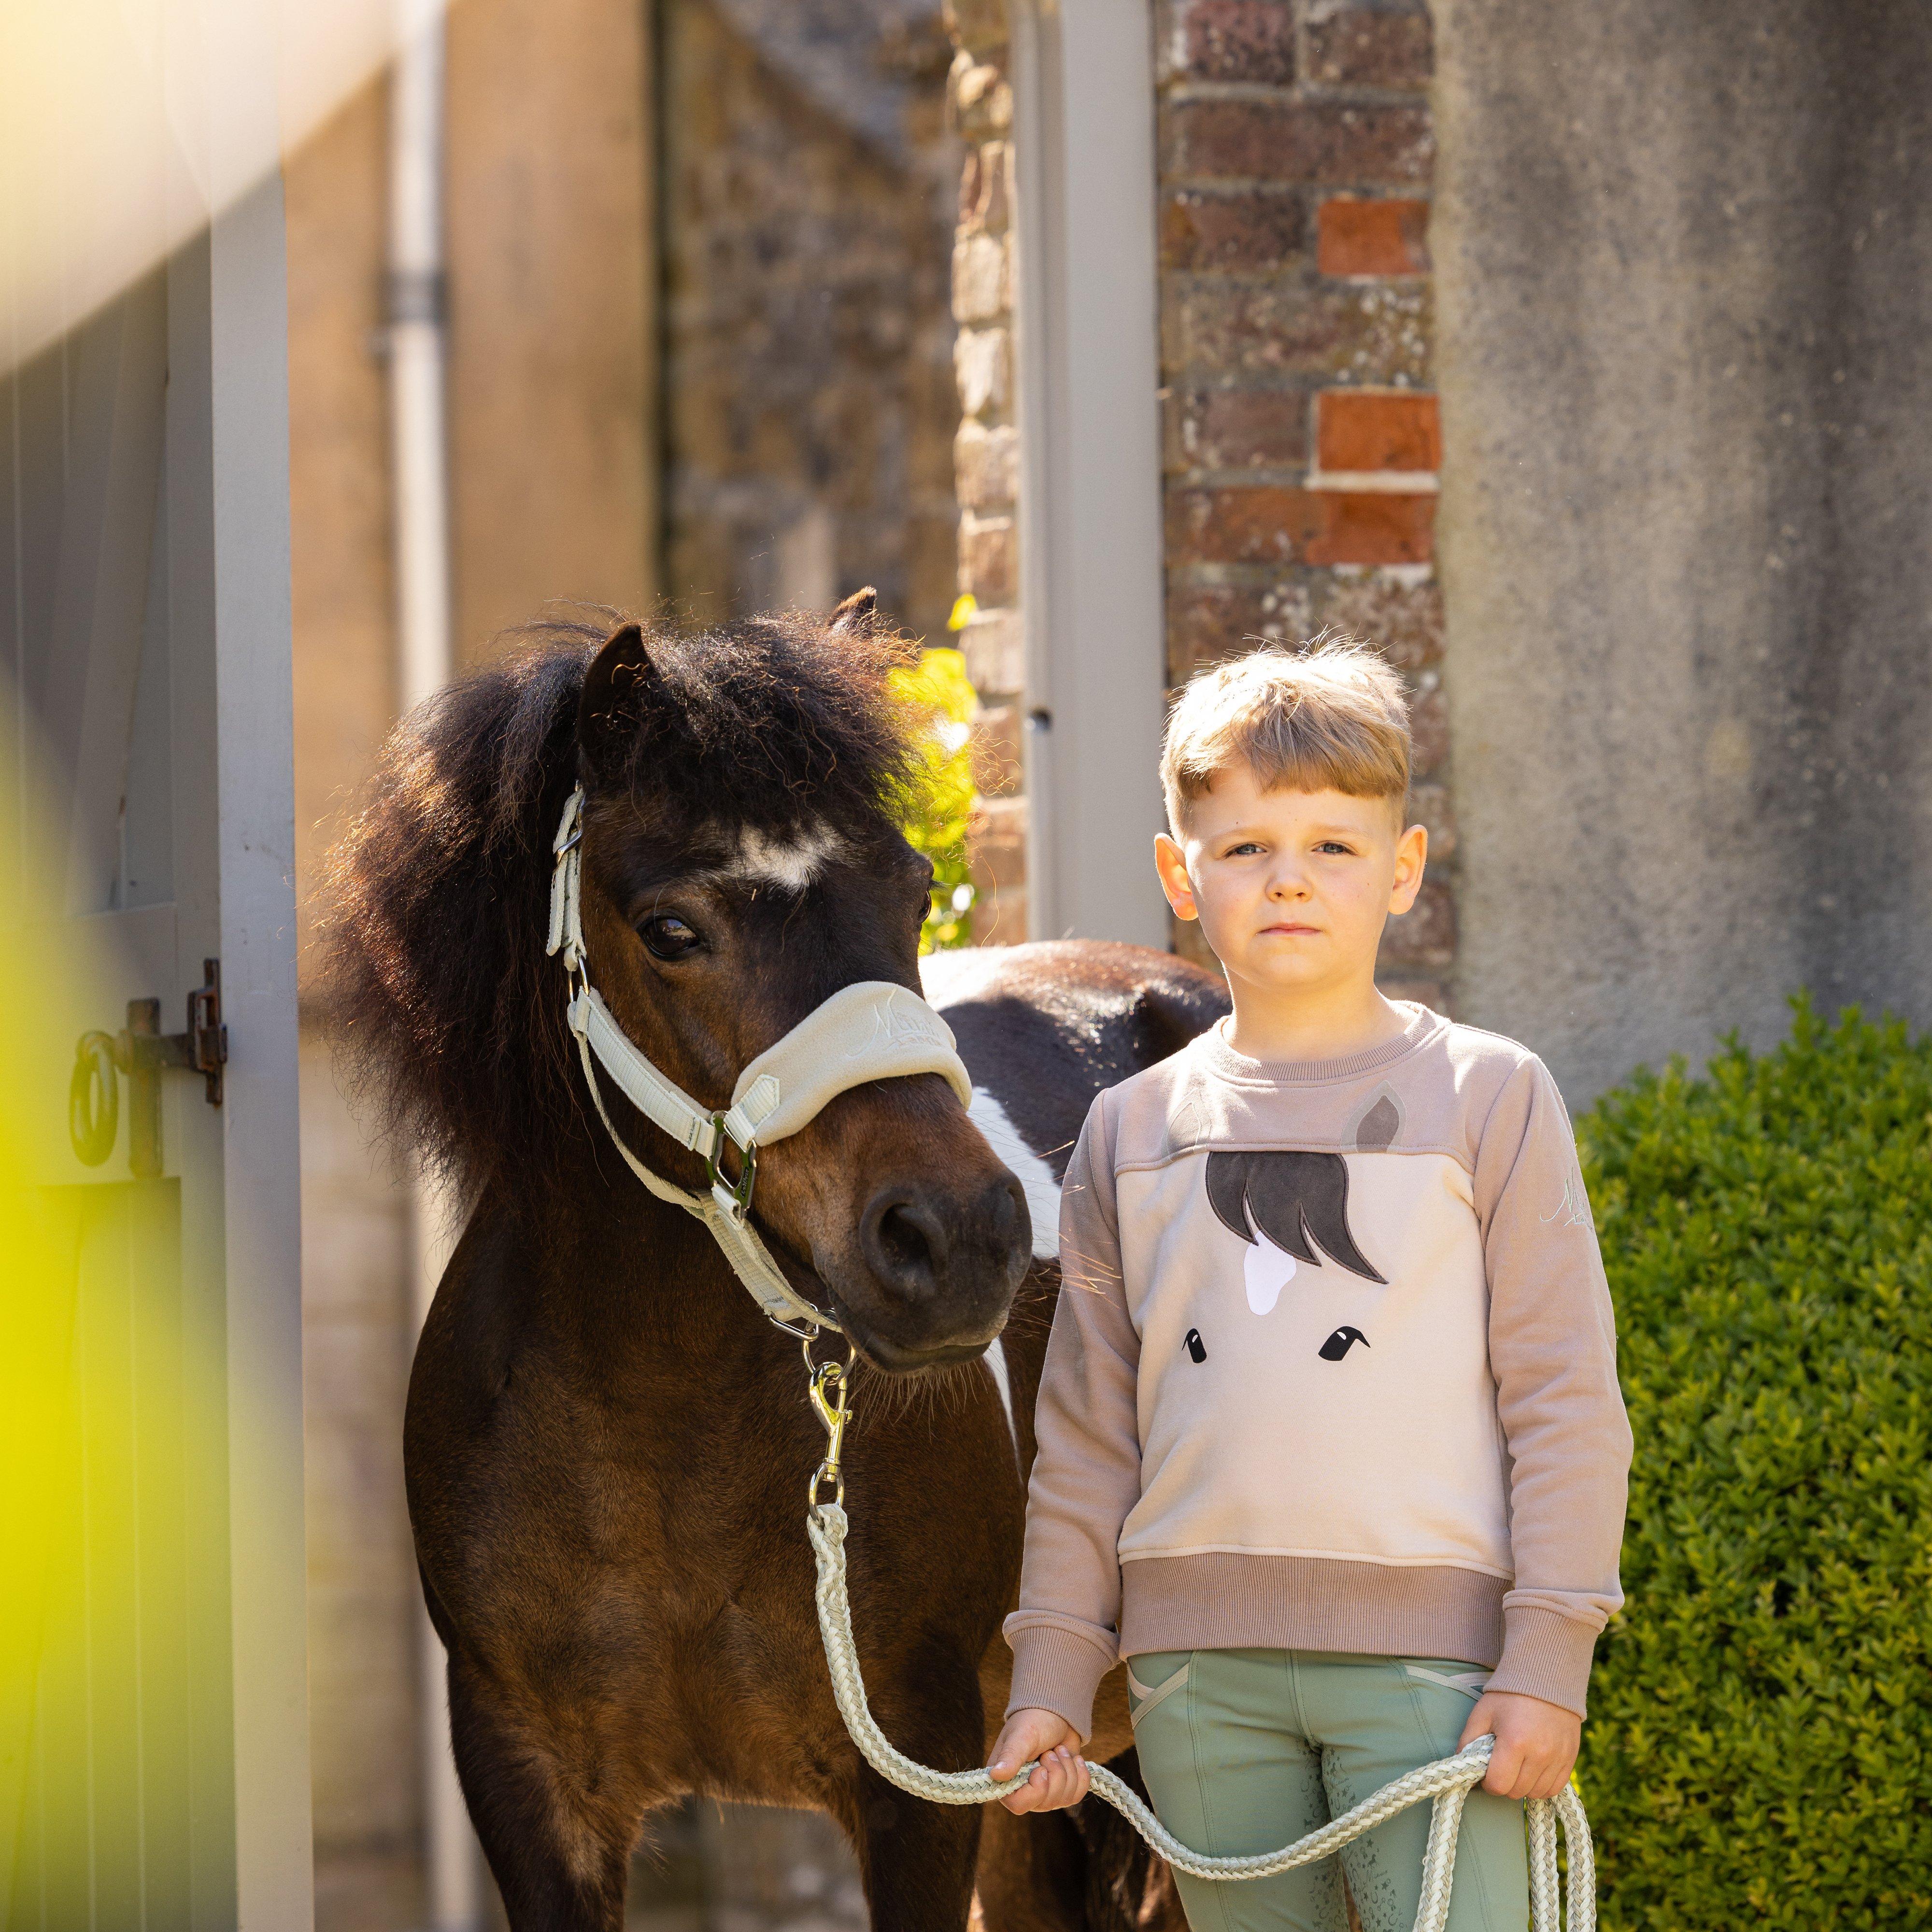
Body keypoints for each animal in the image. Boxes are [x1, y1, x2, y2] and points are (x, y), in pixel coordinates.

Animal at [321, 599, 1227, 1932]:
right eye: (672, 929)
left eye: (912, 889)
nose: (961, 1237)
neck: (652, 1420)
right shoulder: (526, 1785)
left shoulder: (918, 1777)